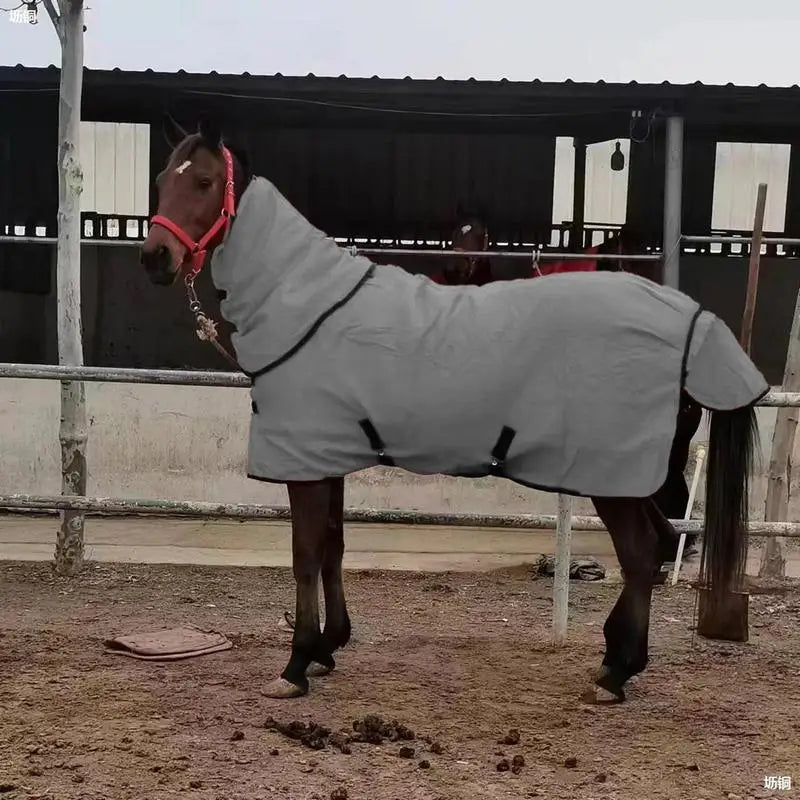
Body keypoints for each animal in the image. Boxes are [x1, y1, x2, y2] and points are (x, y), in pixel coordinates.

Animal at [140, 118, 767, 705]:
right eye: (160, 180)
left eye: (203, 181)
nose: (155, 258)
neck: (315, 309)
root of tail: (689, 323)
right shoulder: (328, 457)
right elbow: (334, 546)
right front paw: (328, 647)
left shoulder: (305, 464)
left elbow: (304, 555)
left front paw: (295, 665)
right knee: (657, 544)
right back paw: (618, 660)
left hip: (614, 474)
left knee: (640, 552)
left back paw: (615, 676)